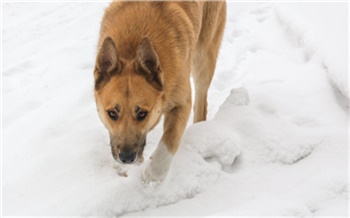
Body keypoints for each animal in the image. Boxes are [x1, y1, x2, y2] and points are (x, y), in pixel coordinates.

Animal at [93, 0, 227, 183]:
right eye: (112, 113)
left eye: (142, 113)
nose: (127, 158)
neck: (131, 49)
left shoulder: (181, 103)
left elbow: (169, 139)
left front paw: (153, 171)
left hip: (203, 57)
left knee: (201, 104)